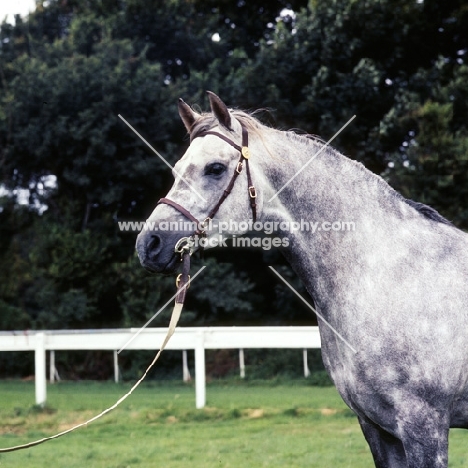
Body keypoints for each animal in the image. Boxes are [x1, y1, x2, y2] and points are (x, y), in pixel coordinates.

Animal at [134, 92, 468, 468]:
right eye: (177, 171)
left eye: (215, 168)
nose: (149, 244)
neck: (386, 274)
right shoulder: (377, 428)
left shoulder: (423, 426)